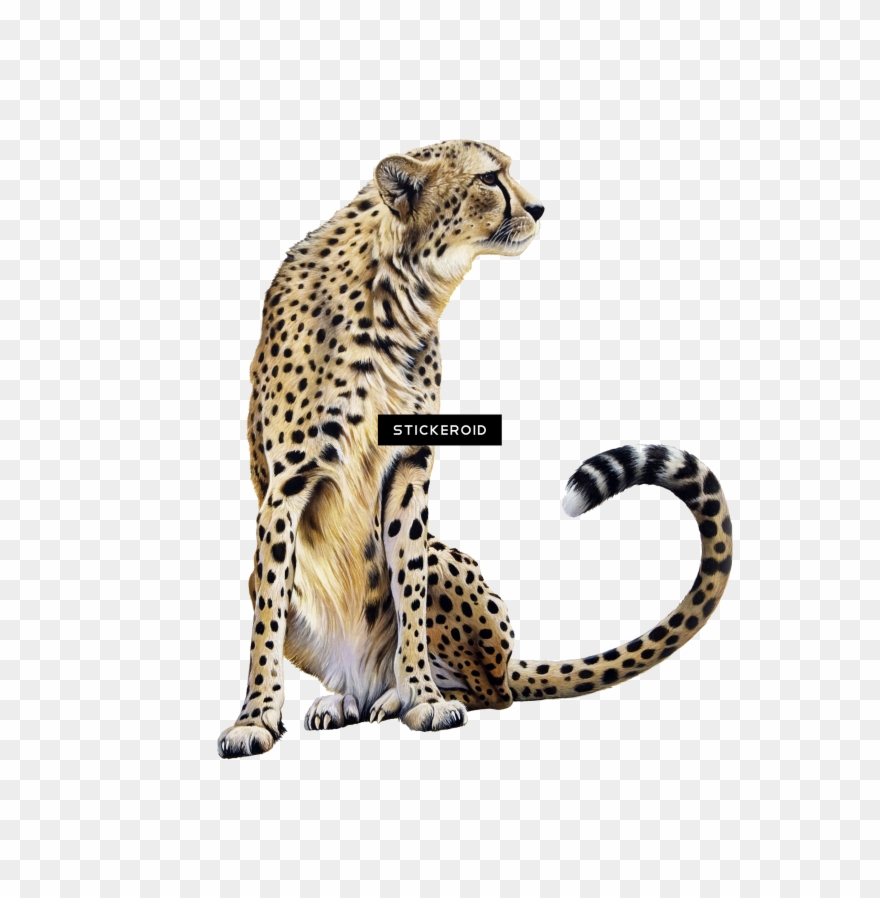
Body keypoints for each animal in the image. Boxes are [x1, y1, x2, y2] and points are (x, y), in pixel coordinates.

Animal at [217, 139, 734, 758]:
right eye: (490, 178)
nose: (539, 208)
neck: (396, 295)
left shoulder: (411, 468)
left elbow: (408, 588)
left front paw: (423, 698)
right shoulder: (285, 488)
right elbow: (267, 617)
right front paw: (255, 717)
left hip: (455, 579)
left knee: (494, 688)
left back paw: (398, 697)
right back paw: (347, 700)